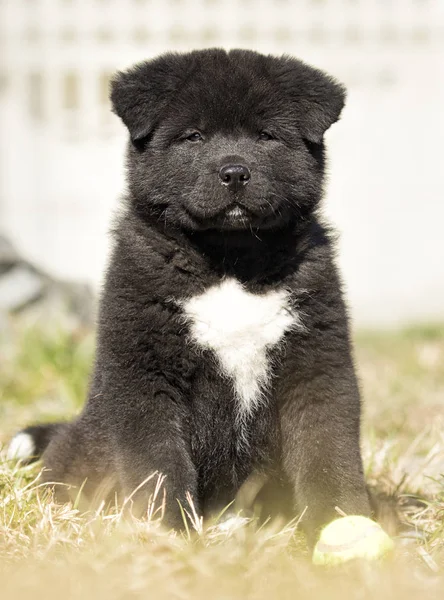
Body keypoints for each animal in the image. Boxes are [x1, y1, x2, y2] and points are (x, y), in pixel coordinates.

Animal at [9, 48, 372, 544]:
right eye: (194, 136)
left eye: (266, 136)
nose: (235, 172)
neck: (230, 260)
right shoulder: (145, 372)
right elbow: (160, 465)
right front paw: (171, 532)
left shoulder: (317, 363)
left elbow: (327, 453)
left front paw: (341, 521)